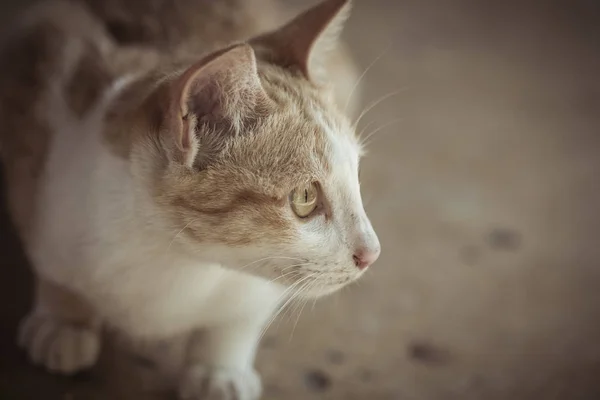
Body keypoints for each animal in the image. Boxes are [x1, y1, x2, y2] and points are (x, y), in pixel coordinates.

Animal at [0, 0, 382, 400]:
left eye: (355, 175)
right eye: (305, 198)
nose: (372, 254)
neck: (178, 261)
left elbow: (239, 320)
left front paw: (220, 369)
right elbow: (53, 264)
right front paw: (63, 318)